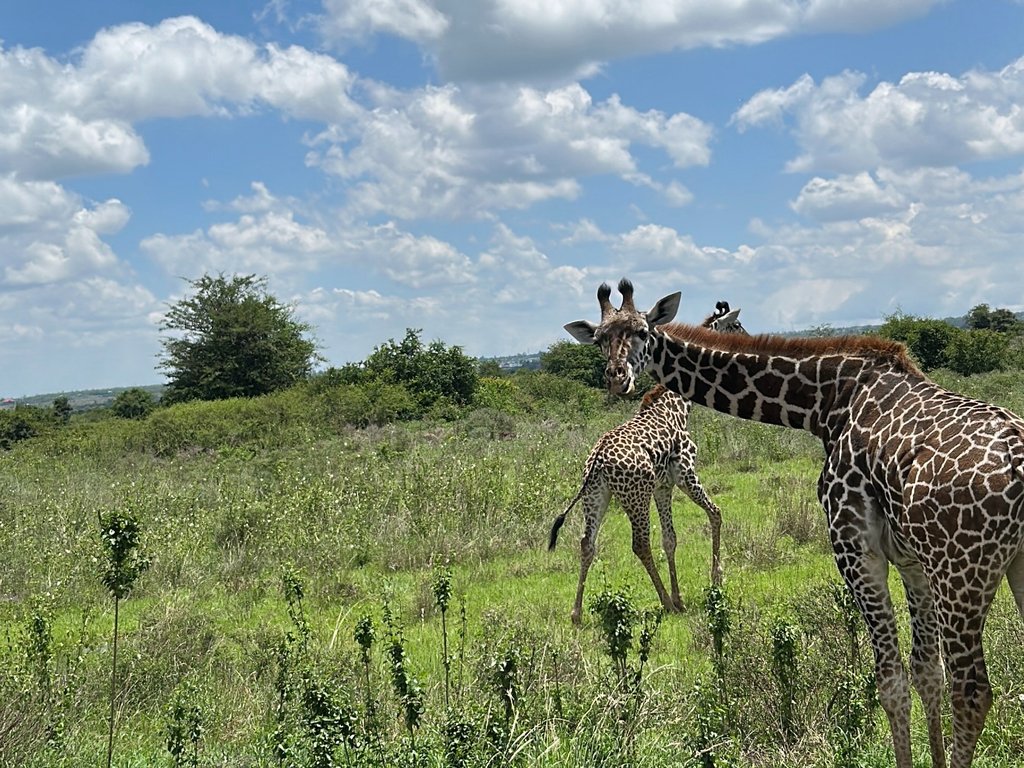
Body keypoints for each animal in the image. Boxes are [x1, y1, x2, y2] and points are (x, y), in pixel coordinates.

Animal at [549, 302, 746, 624]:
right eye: (737, 325)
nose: (747, 338)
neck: (677, 404)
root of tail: (597, 460)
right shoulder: (685, 473)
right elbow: (715, 513)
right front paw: (715, 578)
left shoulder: (663, 486)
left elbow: (670, 539)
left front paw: (681, 598)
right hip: (635, 496)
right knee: (639, 544)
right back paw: (664, 602)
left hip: (596, 496)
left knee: (587, 542)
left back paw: (576, 613)